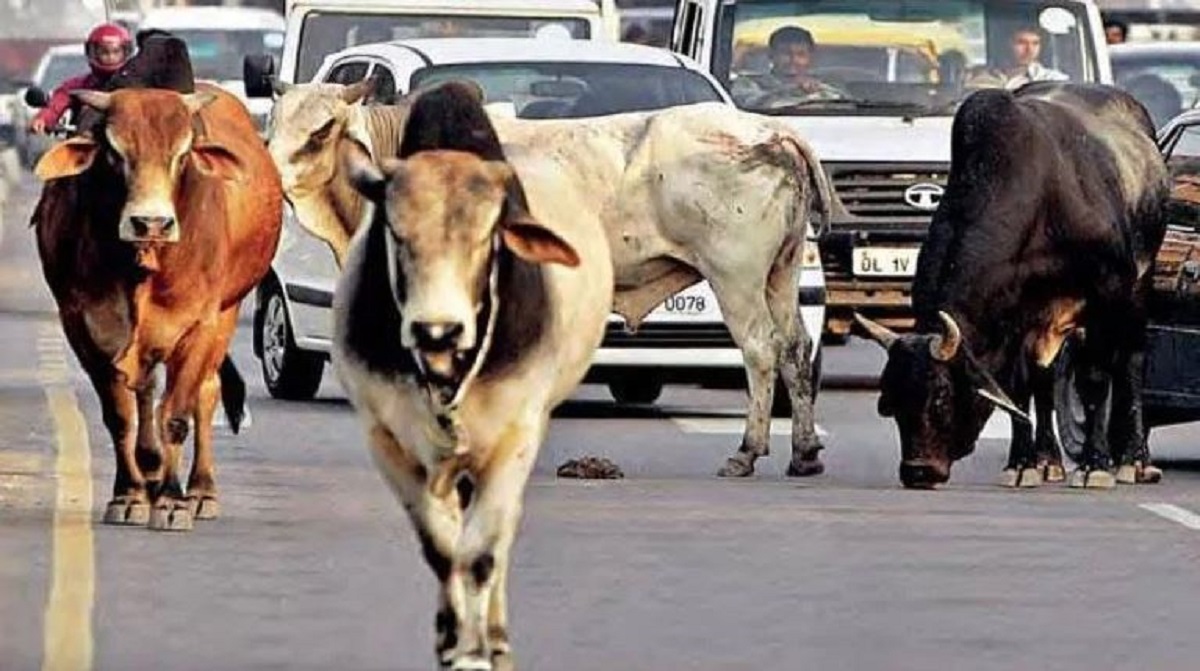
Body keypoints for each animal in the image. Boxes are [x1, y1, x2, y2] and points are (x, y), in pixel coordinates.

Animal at [31, 84, 283, 530]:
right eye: (114, 152)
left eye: (182, 154)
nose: (151, 223)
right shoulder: (82, 325)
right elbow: (120, 415)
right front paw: (129, 495)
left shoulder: (199, 325)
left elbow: (177, 415)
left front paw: (171, 501)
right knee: (146, 391)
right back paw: (149, 472)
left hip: (227, 312)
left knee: (205, 393)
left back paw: (199, 491)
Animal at [267, 78, 833, 479]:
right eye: (272, 124)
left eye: (321, 130)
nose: (269, 176)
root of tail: (773, 132)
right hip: (780, 274)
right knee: (796, 348)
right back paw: (803, 453)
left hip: (734, 276)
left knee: (760, 350)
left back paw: (748, 452)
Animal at [332, 81, 613, 671]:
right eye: (396, 232)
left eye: (487, 236)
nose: (436, 329)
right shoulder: (386, 440)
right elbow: (442, 551)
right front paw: (451, 640)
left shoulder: (515, 438)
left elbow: (482, 552)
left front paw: (478, 651)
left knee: (498, 538)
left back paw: (497, 634)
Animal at [856, 82, 1169, 490]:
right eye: (890, 402)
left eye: (940, 396)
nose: (917, 472)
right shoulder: (1017, 317)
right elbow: (1020, 388)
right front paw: (1023, 464)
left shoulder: (1106, 294)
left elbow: (1095, 380)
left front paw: (1095, 465)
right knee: (1045, 379)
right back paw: (1049, 459)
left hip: (1137, 290)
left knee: (1130, 362)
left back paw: (1134, 460)